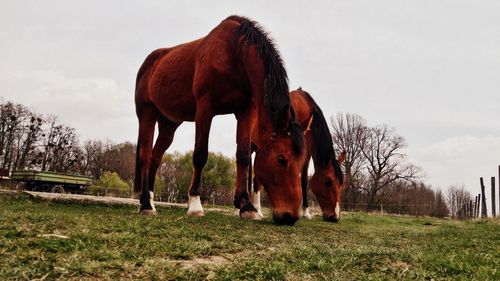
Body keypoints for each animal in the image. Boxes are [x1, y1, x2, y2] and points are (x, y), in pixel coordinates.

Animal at [134, 15, 304, 225]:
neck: (233, 54)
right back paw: (145, 205)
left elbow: (243, 156)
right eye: (282, 159)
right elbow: (200, 155)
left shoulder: (246, 111)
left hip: (169, 124)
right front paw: (195, 205)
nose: (290, 216)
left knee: (156, 158)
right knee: (146, 156)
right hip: (146, 115)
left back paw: (150, 201)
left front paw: (246, 206)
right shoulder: (205, 109)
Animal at [252, 87, 346, 221]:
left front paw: (306, 212)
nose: (335, 217)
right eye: (328, 182)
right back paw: (256, 210)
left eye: (341, 184)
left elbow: (304, 180)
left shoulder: (306, 155)